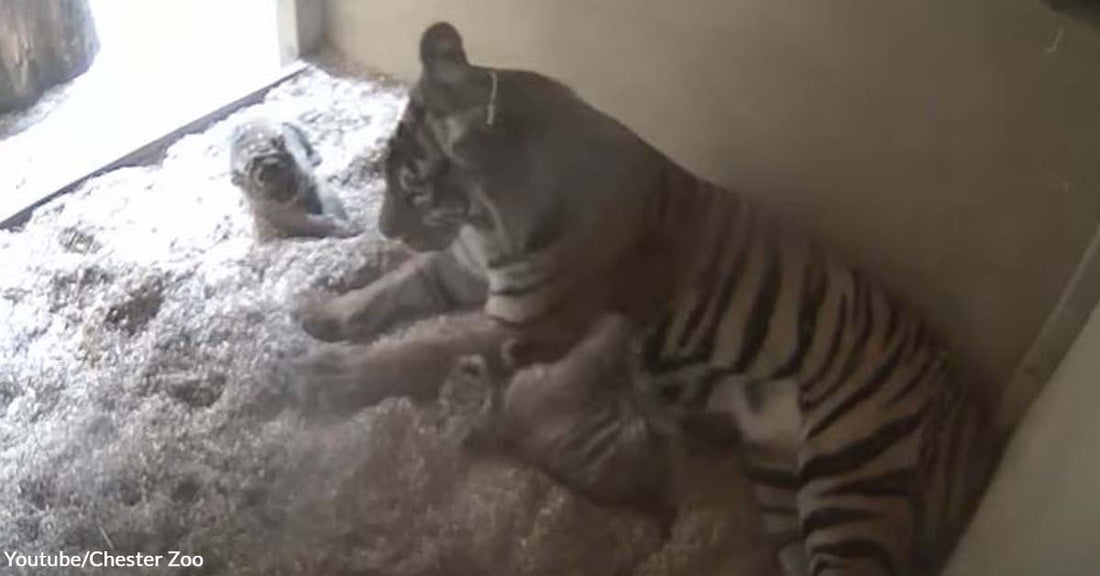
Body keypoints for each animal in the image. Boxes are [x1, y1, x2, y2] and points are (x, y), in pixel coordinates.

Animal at [228, 118, 359, 240]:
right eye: (251, 165)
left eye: (276, 150)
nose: (268, 164)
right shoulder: (275, 213)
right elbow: (308, 223)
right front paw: (340, 228)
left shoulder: (312, 181)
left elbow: (330, 201)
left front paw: (345, 224)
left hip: (293, 126)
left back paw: (314, 158)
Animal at [293, 22, 1011, 576]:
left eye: (412, 186)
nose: (384, 228)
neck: (489, 225)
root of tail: (978, 417)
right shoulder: (467, 269)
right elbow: (397, 286)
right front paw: (320, 313)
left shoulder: (533, 324)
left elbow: (422, 346)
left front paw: (326, 376)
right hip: (779, 477)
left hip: (850, 478)